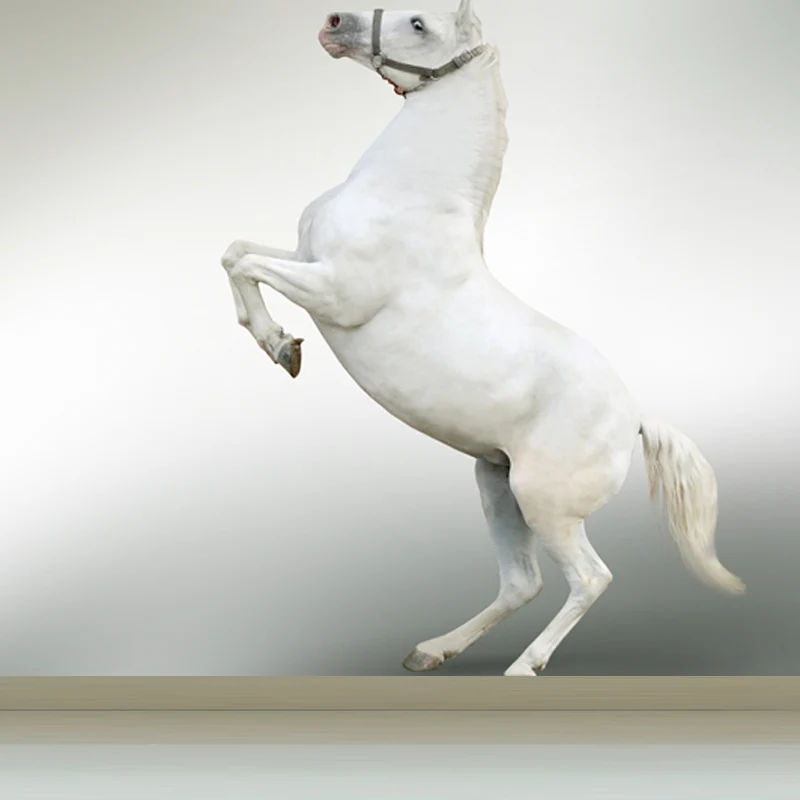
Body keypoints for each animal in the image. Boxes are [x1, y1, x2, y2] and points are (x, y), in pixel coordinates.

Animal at [221, 0, 745, 677]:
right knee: (522, 582)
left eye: (419, 24)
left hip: (544, 501)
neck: (406, 196)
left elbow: (245, 265)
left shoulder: (335, 292)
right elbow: (236, 251)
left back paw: (524, 667)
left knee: (589, 578)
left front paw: (283, 348)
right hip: (496, 485)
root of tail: (634, 419)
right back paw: (431, 650)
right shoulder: (306, 258)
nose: (333, 23)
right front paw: (279, 345)